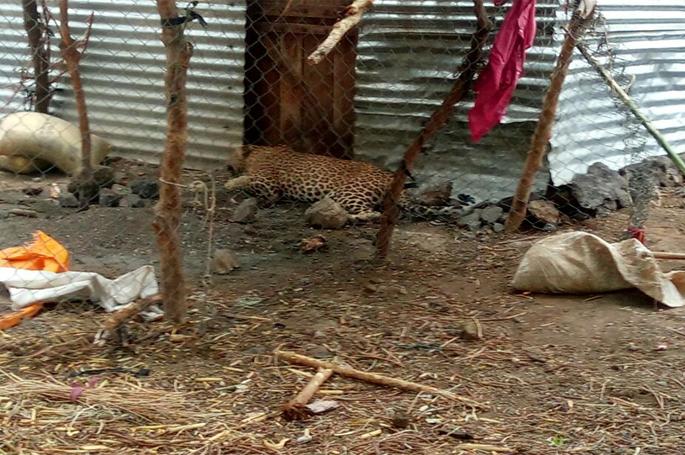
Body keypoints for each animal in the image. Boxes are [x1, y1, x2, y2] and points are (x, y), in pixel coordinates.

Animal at [224, 145, 462, 223]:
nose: (226, 165)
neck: (256, 150)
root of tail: (389, 177)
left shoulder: (268, 183)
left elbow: (247, 179)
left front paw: (230, 183)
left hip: (347, 194)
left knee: (373, 213)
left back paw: (349, 218)